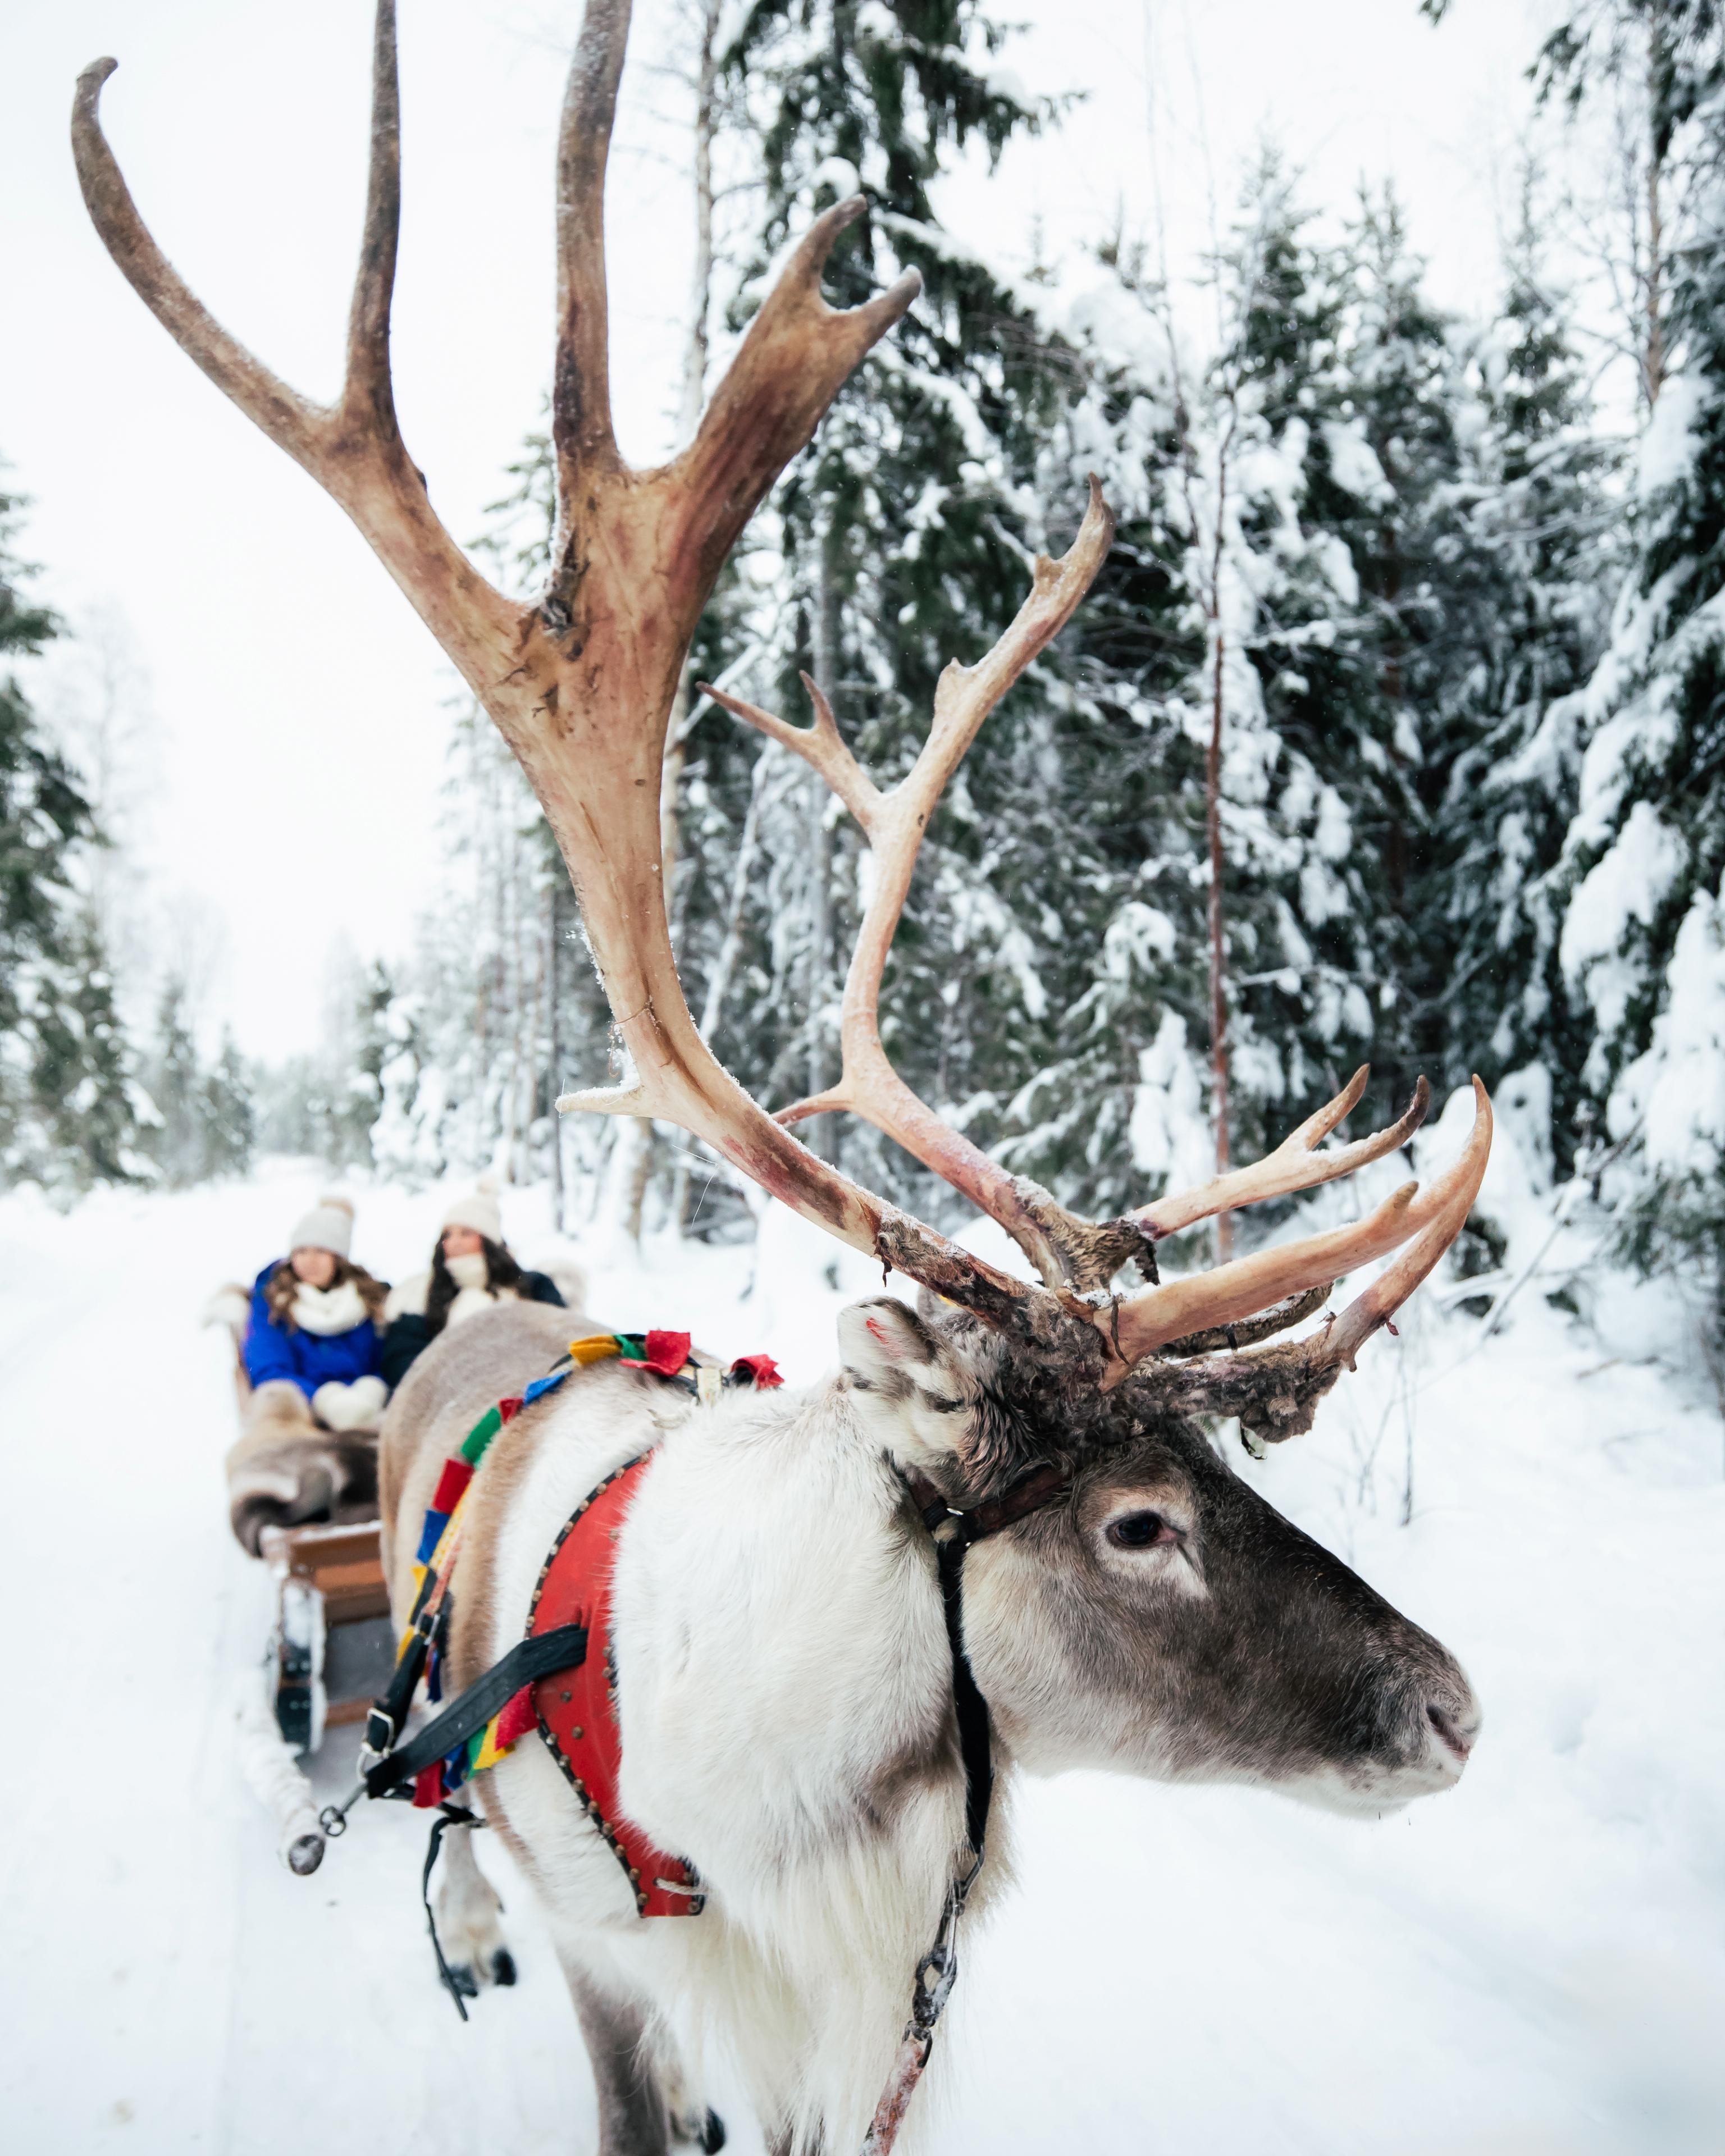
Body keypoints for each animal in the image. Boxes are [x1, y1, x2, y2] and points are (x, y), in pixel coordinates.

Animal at [72, 6, 1492, 2151]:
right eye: (1135, 1523)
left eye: (1226, 1471)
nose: (1452, 1707)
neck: (787, 1823)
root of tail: (482, 1316)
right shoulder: (627, 1973)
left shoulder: (884, 2029)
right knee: (427, 1807)